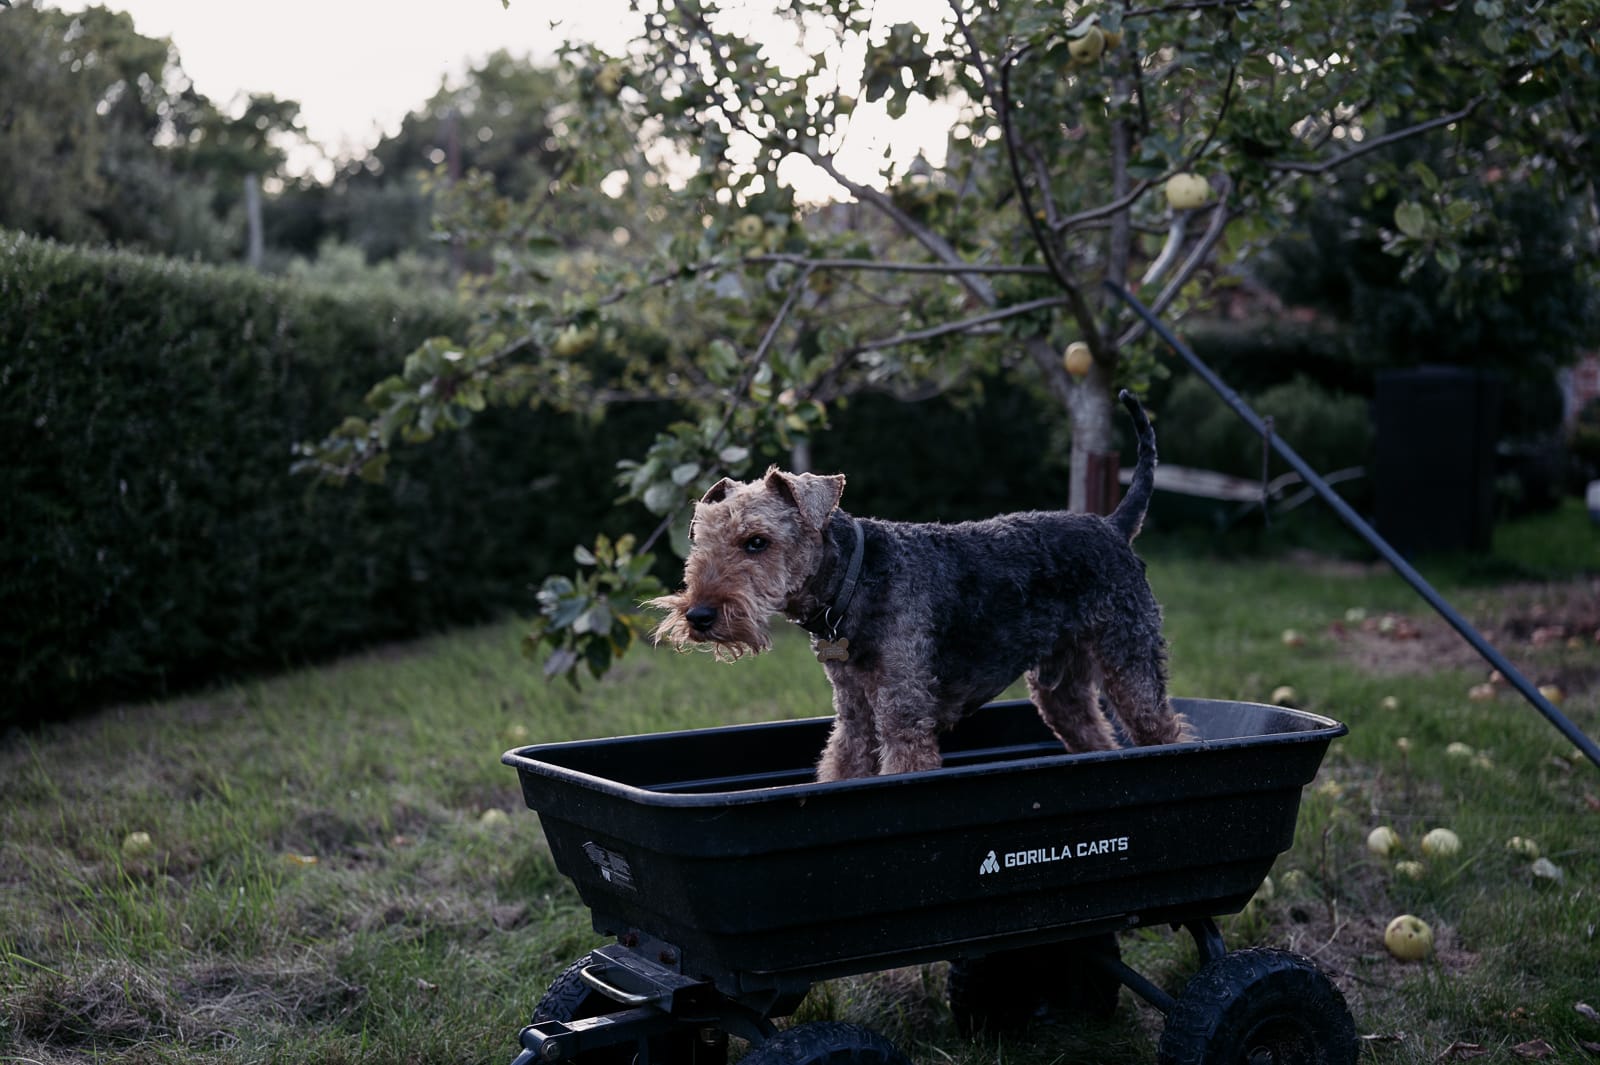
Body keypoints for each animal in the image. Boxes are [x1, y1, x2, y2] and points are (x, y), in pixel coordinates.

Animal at [650, 390, 1191, 780]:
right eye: (700, 540)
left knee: (1167, 733)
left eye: (756, 542)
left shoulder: (902, 716)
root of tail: (1114, 525)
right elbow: (841, 767)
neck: (854, 581)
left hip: (1129, 664)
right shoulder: (855, 718)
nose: (699, 616)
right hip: (1061, 687)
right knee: (1097, 738)